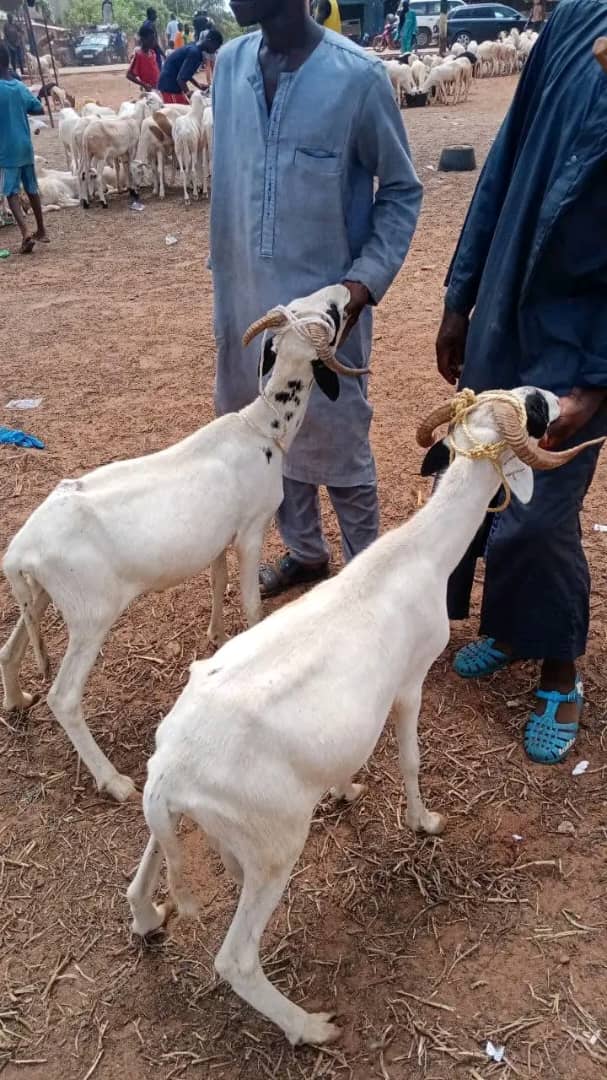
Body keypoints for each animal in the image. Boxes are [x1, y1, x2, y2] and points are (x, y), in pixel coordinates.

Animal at [0, 285, 356, 803]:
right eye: (328, 316)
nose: (345, 291)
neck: (263, 427)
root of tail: (20, 549)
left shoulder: (218, 538)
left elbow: (218, 581)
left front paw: (216, 639)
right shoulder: (251, 528)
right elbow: (251, 602)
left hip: (41, 594)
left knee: (9, 650)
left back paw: (16, 699)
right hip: (90, 614)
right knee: (64, 696)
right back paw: (114, 781)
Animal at [127, 387, 602, 1045]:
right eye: (532, 413)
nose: (553, 396)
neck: (419, 555)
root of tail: (171, 774)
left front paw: (345, 790)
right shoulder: (409, 683)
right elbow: (410, 760)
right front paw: (425, 822)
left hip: (175, 816)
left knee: (140, 872)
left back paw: (149, 918)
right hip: (272, 847)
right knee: (236, 960)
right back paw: (310, 1027)